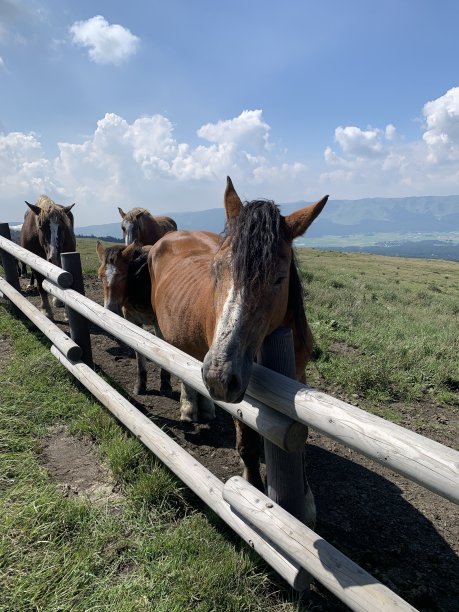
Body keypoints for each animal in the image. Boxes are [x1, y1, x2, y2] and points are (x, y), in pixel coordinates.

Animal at [95, 241, 172, 394]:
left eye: (124, 276)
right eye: (100, 277)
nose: (111, 310)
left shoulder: (159, 325)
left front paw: (166, 385)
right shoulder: (132, 321)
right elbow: (139, 353)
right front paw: (140, 385)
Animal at [149, 176, 328, 516]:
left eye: (278, 278)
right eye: (217, 269)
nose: (218, 377)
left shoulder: (298, 378)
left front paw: (307, 497)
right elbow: (247, 444)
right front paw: (253, 493)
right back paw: (190, 406)